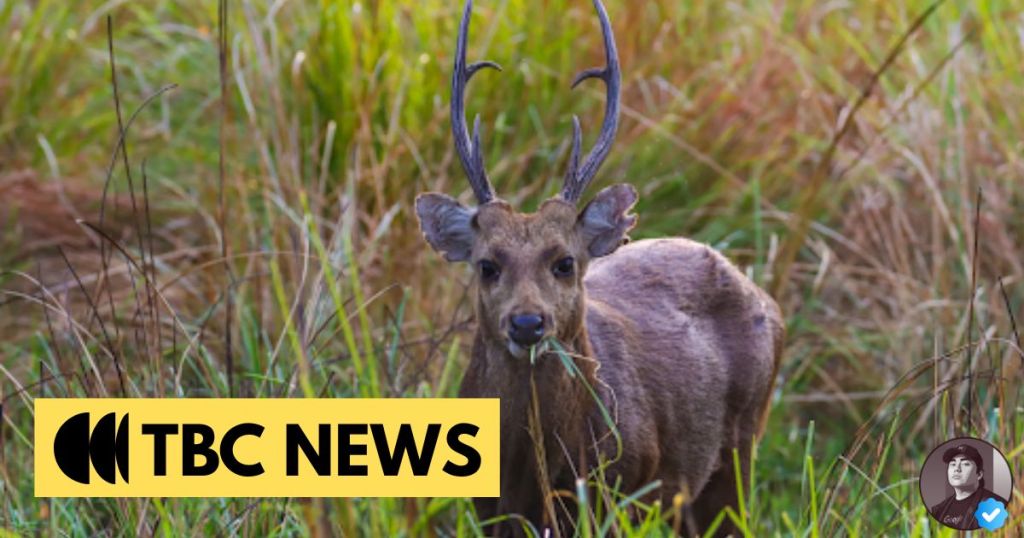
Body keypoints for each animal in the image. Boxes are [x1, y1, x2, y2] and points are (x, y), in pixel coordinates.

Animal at [415, 1, 784, 536]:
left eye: (565, 262)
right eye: (487, 264)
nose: (527, 322)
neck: (529, 472)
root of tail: (767, 301)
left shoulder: (618, 487)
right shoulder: (489, 508)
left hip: (740, 450)